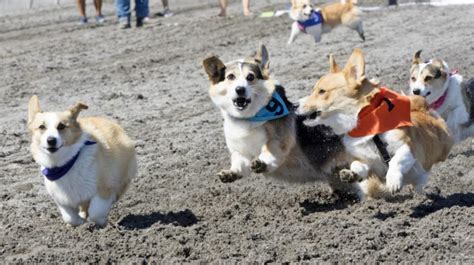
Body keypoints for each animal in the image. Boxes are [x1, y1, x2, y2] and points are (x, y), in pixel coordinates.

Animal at [296, 48, 452, 195]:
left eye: (322, 91)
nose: (294, 105)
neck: (369, 126)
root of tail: (422, 108)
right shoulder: (367, 162)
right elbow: (357, 165)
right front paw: (350, 174)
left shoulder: (408, 147)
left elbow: (395, 160)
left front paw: (393, 181)